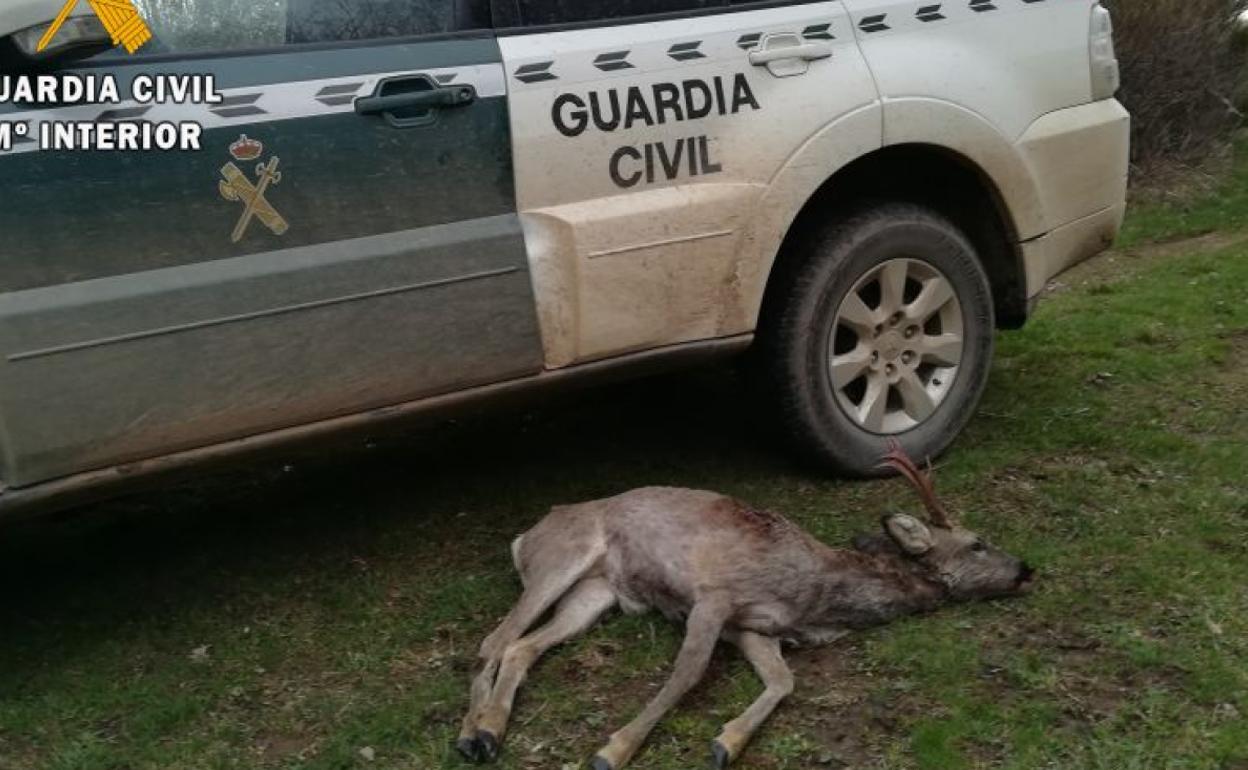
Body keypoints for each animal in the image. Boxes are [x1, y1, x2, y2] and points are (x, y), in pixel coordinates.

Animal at [459, 444, 1033, 768]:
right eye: (978, 543)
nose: (1027, 569)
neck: (821, 594)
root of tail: (524, 536)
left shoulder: (757, 627)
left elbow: (784, 682)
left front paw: (725, 743)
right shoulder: (715, 596)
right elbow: (687, 674)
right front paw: (612, 751)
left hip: (596, 595)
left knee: (521, 646)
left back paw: (489, 729)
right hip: (563, 557)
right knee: (493, 639)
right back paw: (470, 735)